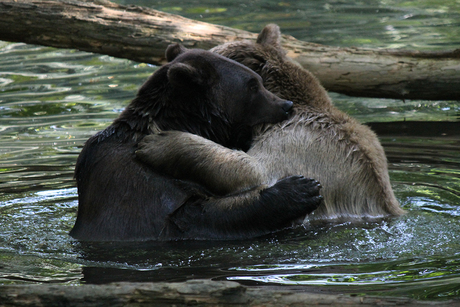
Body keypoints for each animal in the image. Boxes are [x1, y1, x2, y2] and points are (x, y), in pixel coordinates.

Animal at [70, 43, 324, 242]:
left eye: (259, 81)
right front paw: (301, 188)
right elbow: (191, 218)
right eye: (252, 85)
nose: (286, 106)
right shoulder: (132, 182)